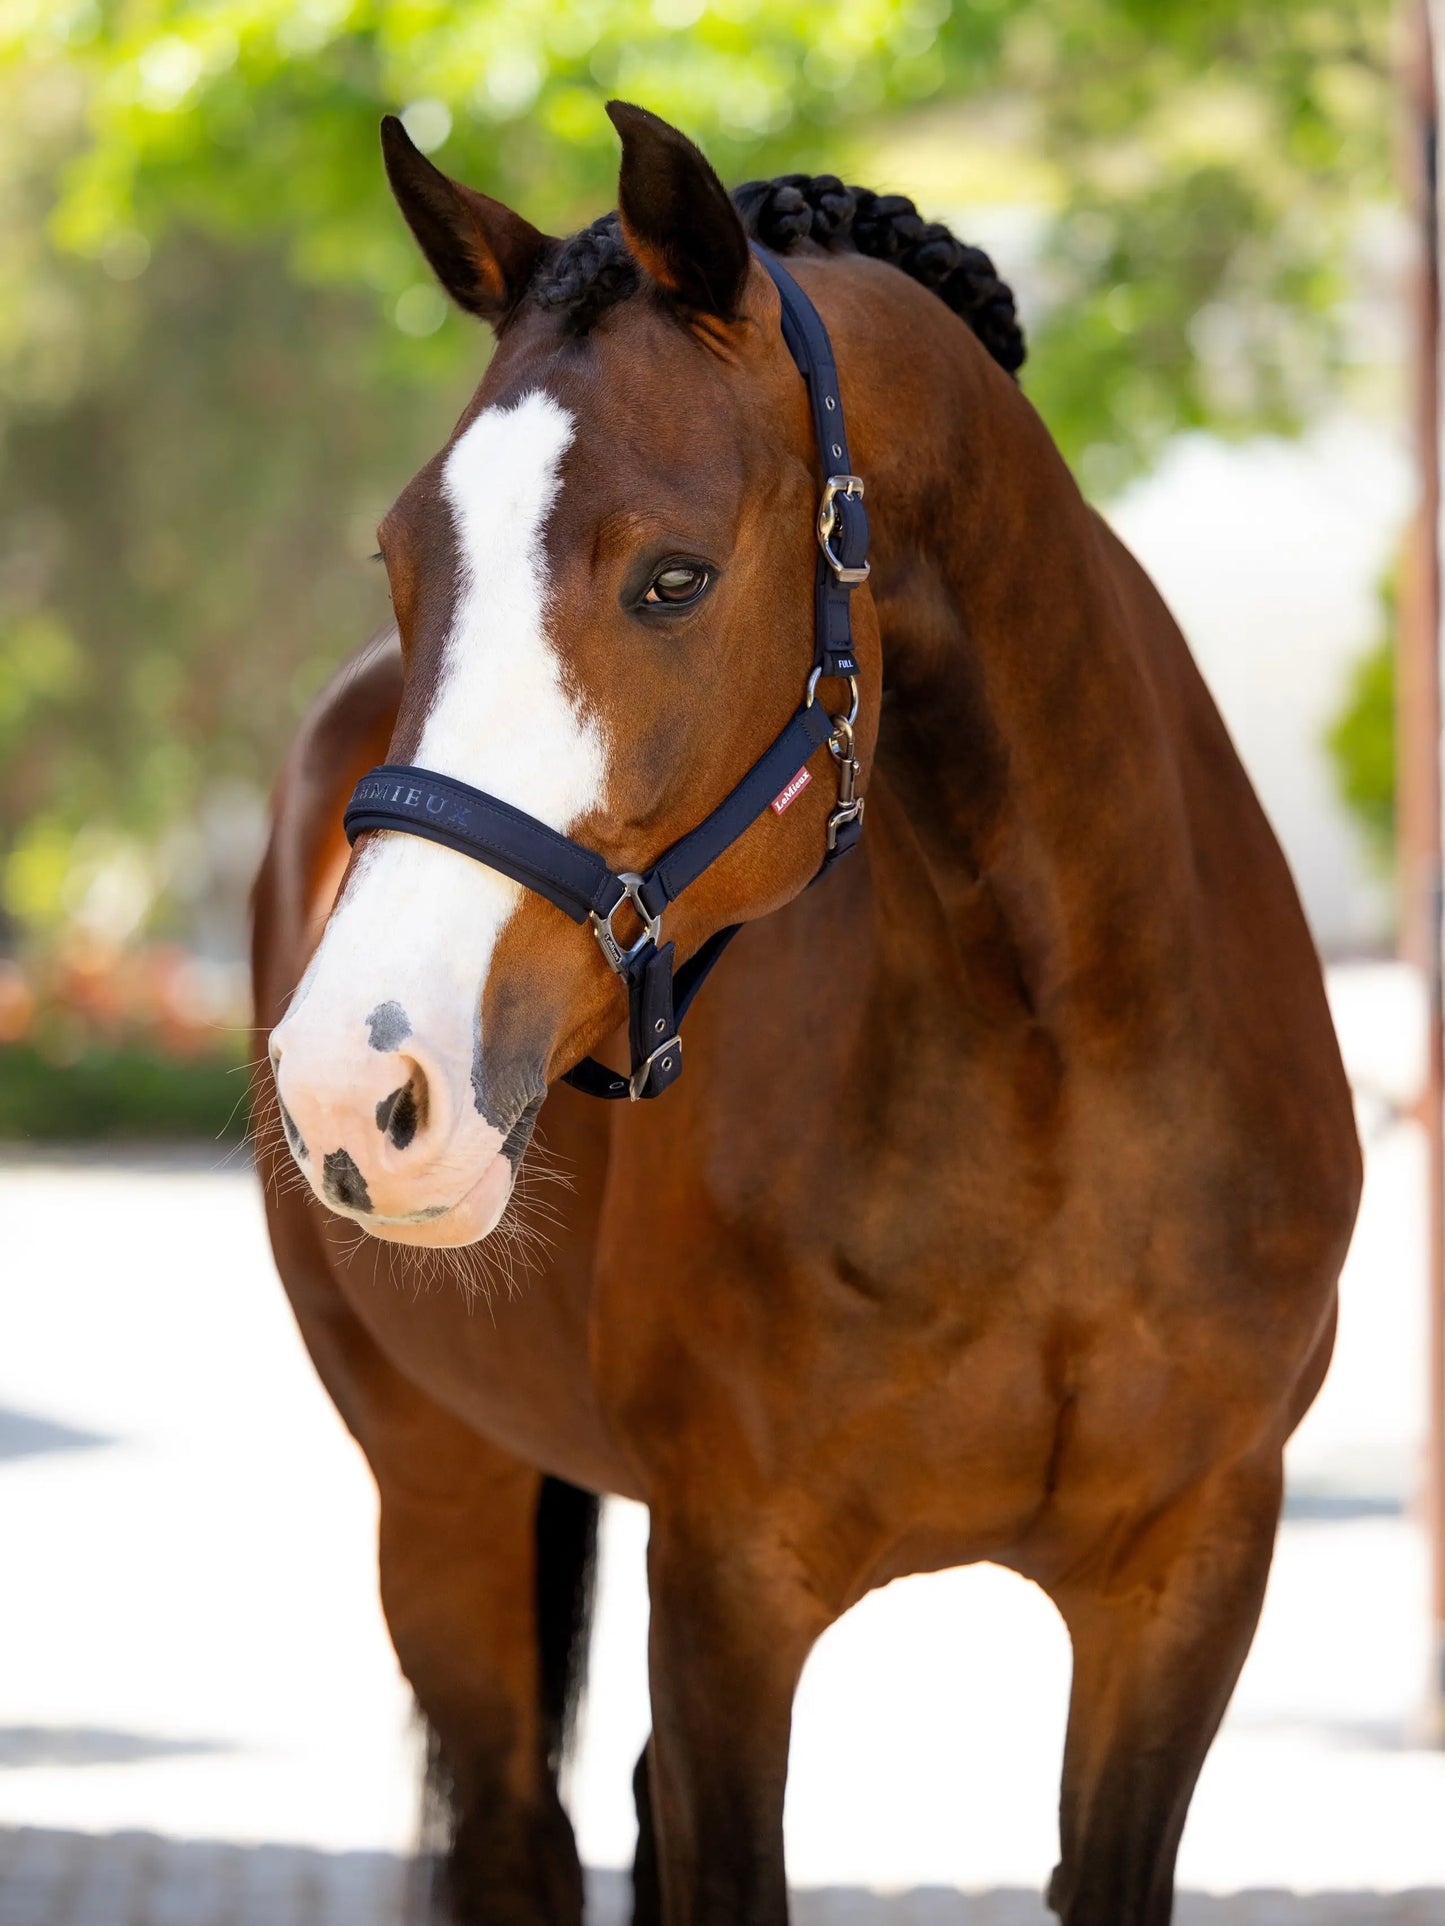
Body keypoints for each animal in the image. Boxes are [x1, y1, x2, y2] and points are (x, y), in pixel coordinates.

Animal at [251, 100, 1361, 1926]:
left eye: (673, 578)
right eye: (404, 559)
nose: (354, 1087)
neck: (1057, 1079)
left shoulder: (1189, 1579)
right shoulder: (729, 1591)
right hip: (438, 1487)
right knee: (518, 1828)